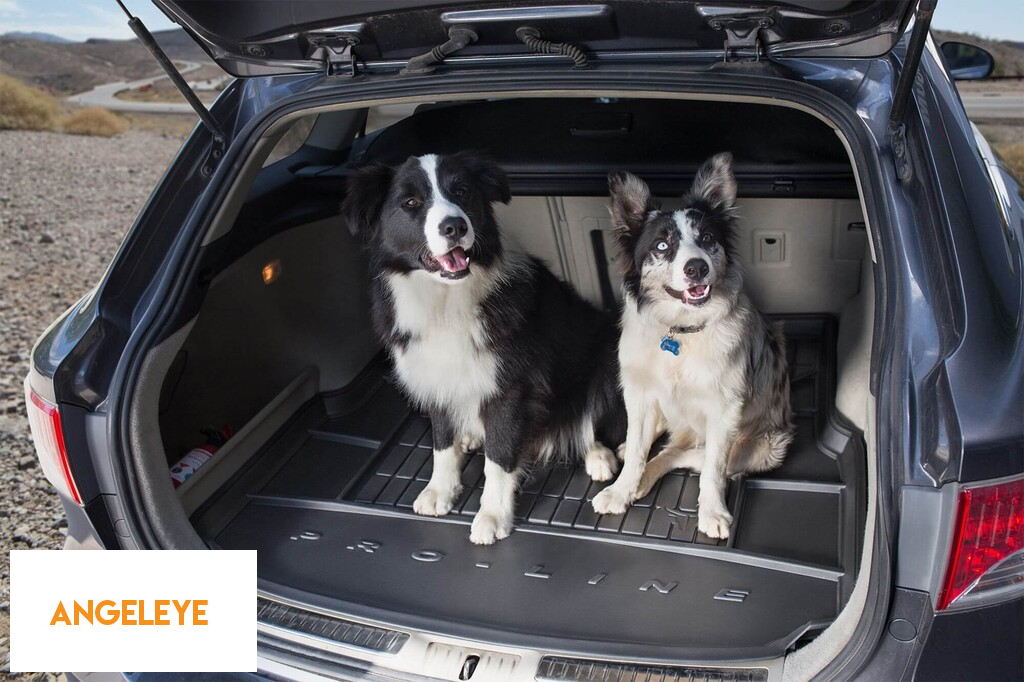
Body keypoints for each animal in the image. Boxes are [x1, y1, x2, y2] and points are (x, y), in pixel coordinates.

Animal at [342, 151, 625, 544]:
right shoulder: (435, 376)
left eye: (462, 192)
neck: (445, 301)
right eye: (411, 202)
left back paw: (599, 456)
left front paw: (493, 515)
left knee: (590, 420)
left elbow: (500, 458)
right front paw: (440, 491)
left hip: (604, 358)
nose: (454, 227)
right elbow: (441, 443)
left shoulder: (510, 389)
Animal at [592, 152, 794, 539]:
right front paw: (620, 491)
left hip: (766, 448)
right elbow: (638, 449)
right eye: (662, 245)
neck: (681, 332)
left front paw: (712, 512)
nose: (696, 268)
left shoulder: (725, 410)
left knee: (681, 455)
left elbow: (712, 469)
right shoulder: (639, 393)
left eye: (707, 237)